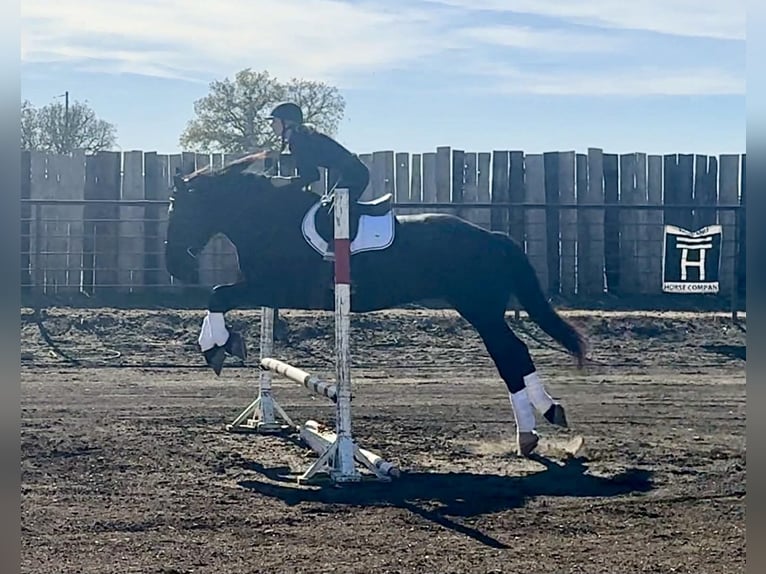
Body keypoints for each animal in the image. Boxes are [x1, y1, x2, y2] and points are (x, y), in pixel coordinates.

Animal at [164, 153, 589, 456]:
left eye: (181, 210)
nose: (174, 267)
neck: (268, 221)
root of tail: (493, 237)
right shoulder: (267, 292)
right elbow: (219, 296)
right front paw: (221, 345)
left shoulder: (274, 289)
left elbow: (218, 293)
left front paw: (217, 348)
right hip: (482, 310)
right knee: (514, 354)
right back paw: (540, 423)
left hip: (481, 310)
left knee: (510, 354)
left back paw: (534, 428)